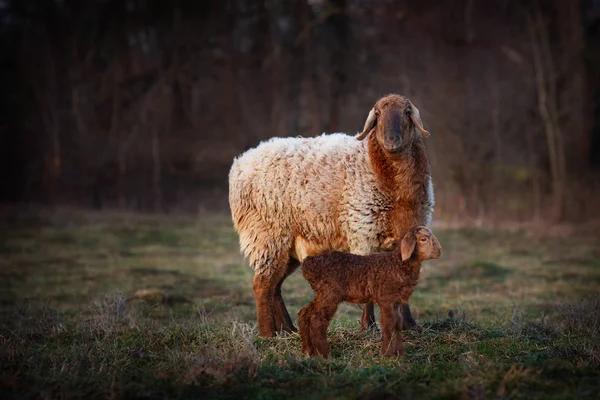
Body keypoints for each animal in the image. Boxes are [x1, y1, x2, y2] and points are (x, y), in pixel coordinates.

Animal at [229, 94, 432, 338]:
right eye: (378, 114)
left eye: (407, 112)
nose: (391, 140)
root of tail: (241, 162)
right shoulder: (363, 231)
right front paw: (369, 326)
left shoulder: (408, 233)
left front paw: (408, 325)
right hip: (266, 234)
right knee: (262, 284)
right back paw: (267, 333)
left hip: (288, 245)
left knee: (274, 286)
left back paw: (287, 329)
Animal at [298, 227, 440, 358]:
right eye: (423, 239)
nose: (439, 251)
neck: (397, 264)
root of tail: (308, 264)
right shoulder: (385, 299)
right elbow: (388, 324)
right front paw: (386, 354)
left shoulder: (395, 301)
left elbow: (397, 324)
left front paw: (400, 353)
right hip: (330, 293)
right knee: (317, 320)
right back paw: (324, 354)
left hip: (322, 293)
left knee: (305, 313)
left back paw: (308, 350)